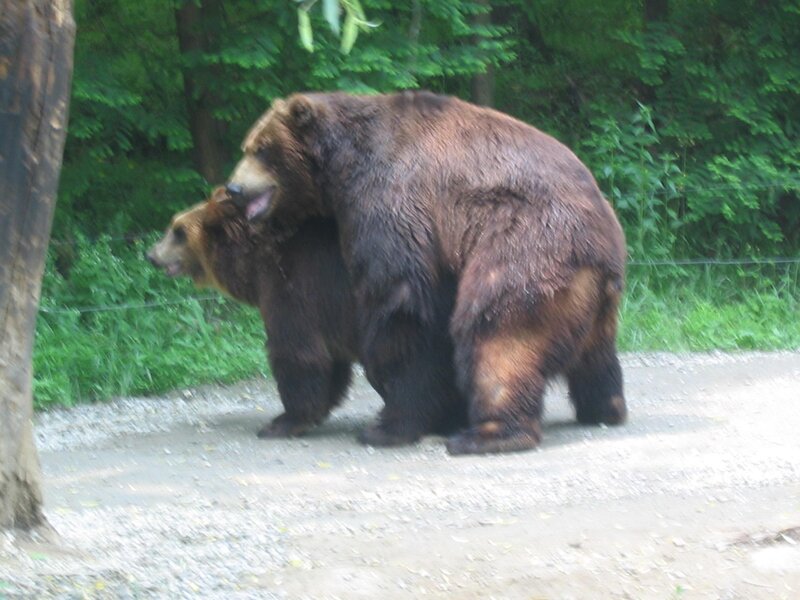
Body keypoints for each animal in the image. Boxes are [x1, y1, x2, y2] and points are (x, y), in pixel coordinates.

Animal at [147, 187, 467, 441]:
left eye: (178, 232)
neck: (254, 263)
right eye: (173, 225)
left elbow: (297, 352)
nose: (151, 254)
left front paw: (281, 422)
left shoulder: (295, 286)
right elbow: (330, 363)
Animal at [225, 91, 628, 455]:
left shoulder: (390, 199)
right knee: (596, 353)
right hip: (590, 294)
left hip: (527, 246)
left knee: (497, 333)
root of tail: (606, 243)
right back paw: (605, 408)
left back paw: (488, 434)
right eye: (247, 145)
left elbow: (402, 302)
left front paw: (389, 423)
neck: (342, 165)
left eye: (261, 149)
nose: (233, 188)